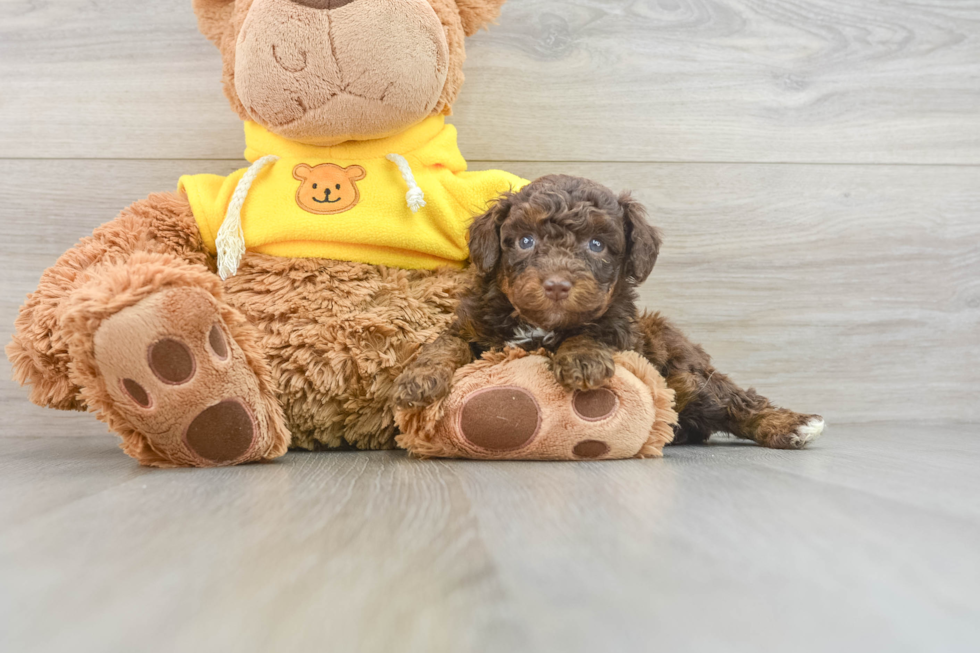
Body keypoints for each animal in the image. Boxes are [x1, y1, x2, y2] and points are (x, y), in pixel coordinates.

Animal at [394, 173, 824, 448]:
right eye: (525, 241)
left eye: (597, 245)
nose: (556, 285)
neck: (538, 324)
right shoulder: (474, 326)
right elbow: (445, 343)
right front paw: (418, 379)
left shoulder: (623, 334)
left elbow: (590, 330)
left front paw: (582, 359)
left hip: (684, 372)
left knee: (733, 400)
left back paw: (793, 425)